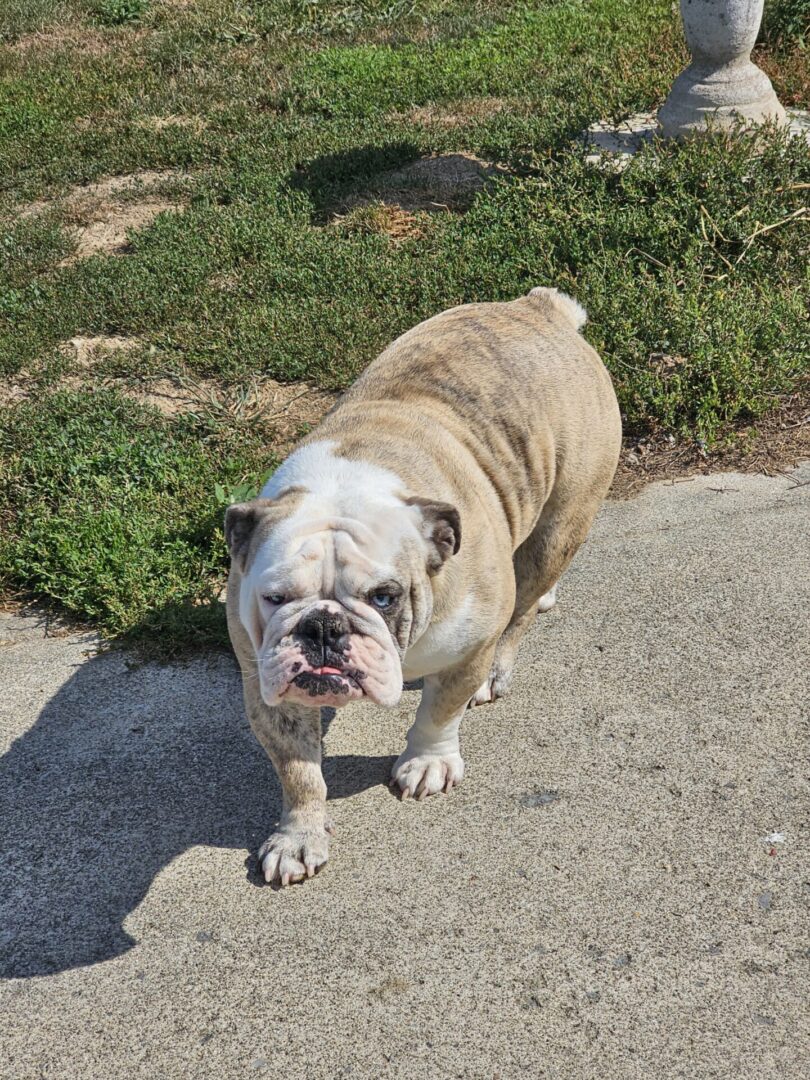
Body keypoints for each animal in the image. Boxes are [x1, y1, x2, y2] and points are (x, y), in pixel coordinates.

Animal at [225, 289, 626, 885]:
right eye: (275, 599)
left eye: (384, 597)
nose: (322, 627)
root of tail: (538, 306)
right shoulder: (266, 683)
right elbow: (299, 771)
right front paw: (299, 835)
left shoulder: (469, 645)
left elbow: (440, 710)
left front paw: (427, 761)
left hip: (564, 519)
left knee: (525, 601)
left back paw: (504, 660)